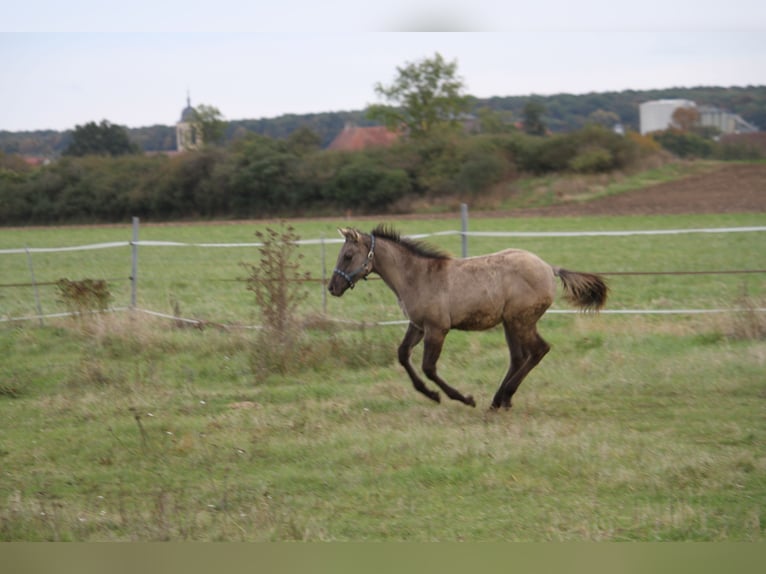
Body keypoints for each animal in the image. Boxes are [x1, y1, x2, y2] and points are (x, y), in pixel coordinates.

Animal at [328, 225, 608, 410]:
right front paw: (431, 394)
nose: (332, 288)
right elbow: (402, 355)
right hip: (510, 323)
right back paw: (499, 400)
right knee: (518, 358)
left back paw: (503, 396)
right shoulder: (417, 326)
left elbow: (428, 367)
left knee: (539, 350)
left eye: (348, 256)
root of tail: (550, 268)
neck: (417, 276)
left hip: (522, 320)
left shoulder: (437, 329)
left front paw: (463, 398)